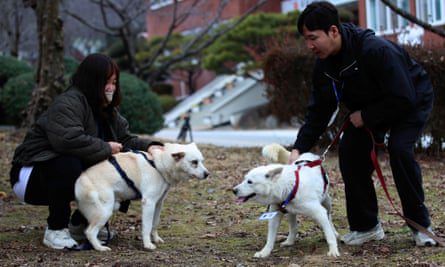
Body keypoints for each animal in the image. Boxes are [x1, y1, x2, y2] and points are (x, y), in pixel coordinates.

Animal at [74, 143, 208, 252]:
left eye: (201, 161)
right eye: (194, 162)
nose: (207, 174)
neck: (158, 164)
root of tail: (80, 180)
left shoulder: (158, 203)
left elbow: (155, 223)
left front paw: (156, 239)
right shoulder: (149, 203)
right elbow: (147, 226)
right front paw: (148, 244)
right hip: (105, 210)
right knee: (90, 232)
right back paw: (99, 247)